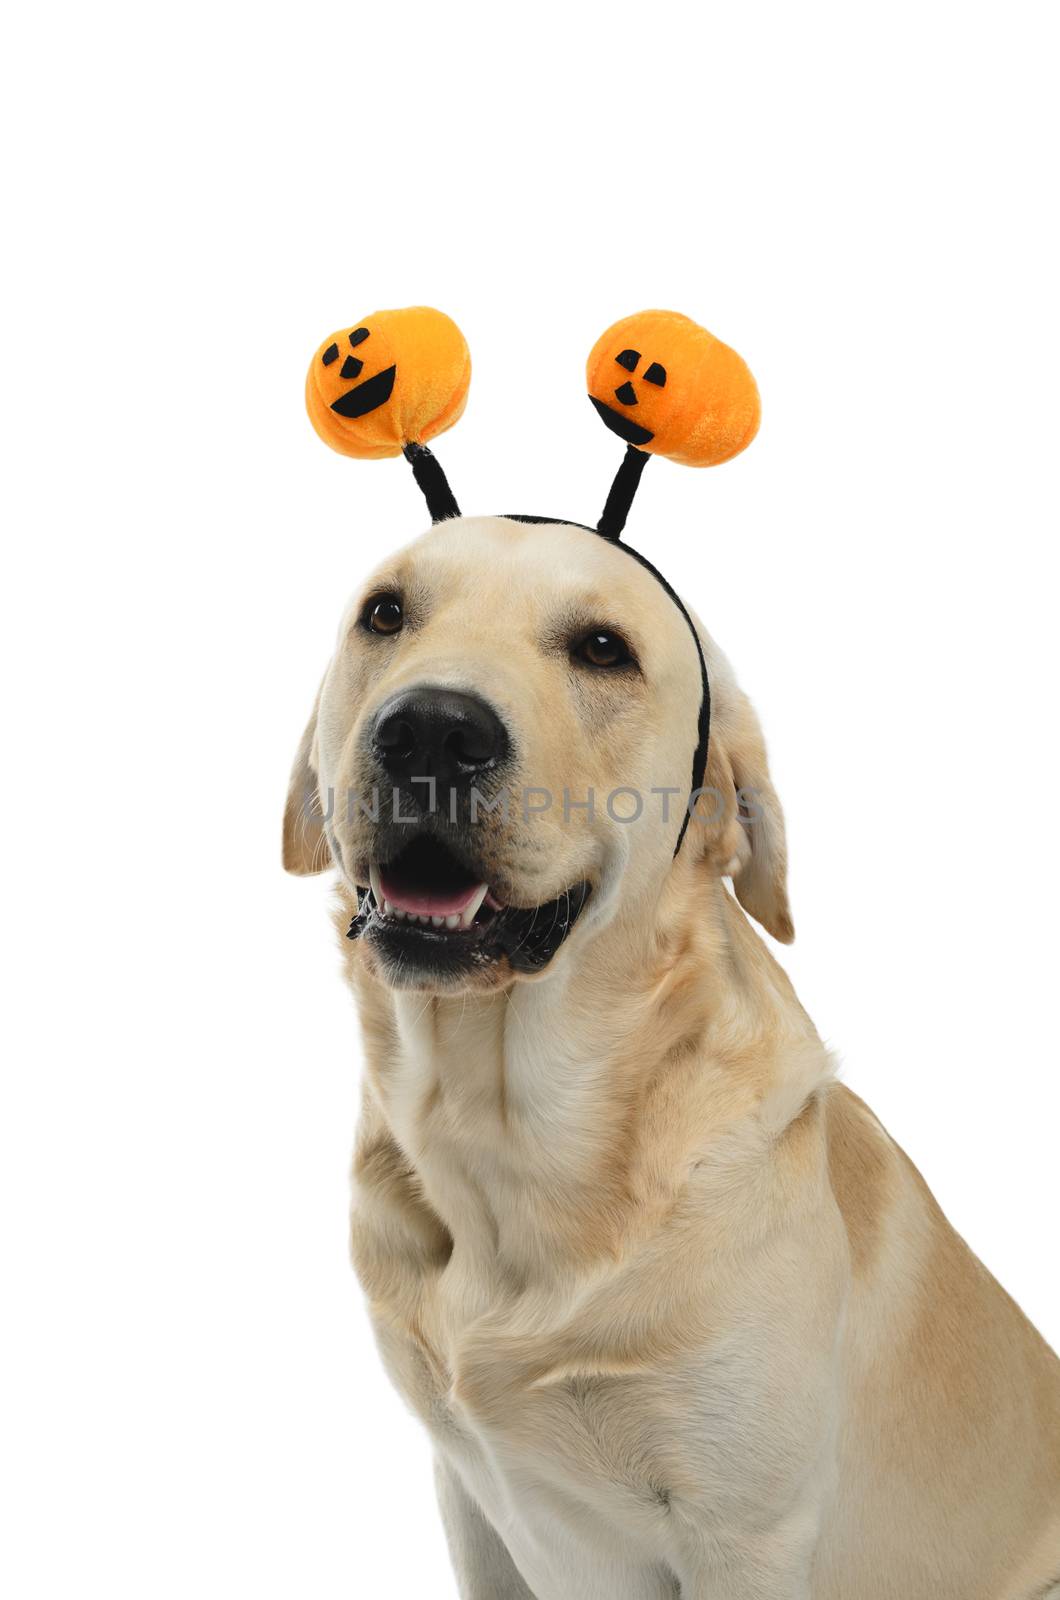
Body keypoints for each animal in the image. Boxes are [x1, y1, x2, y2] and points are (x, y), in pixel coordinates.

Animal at [281, 515, 1060, 1600]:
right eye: (385, 613)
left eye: (603, 648)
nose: (430, 729)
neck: (504, 1132)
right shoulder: (467, 1492)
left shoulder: (745, 1533)